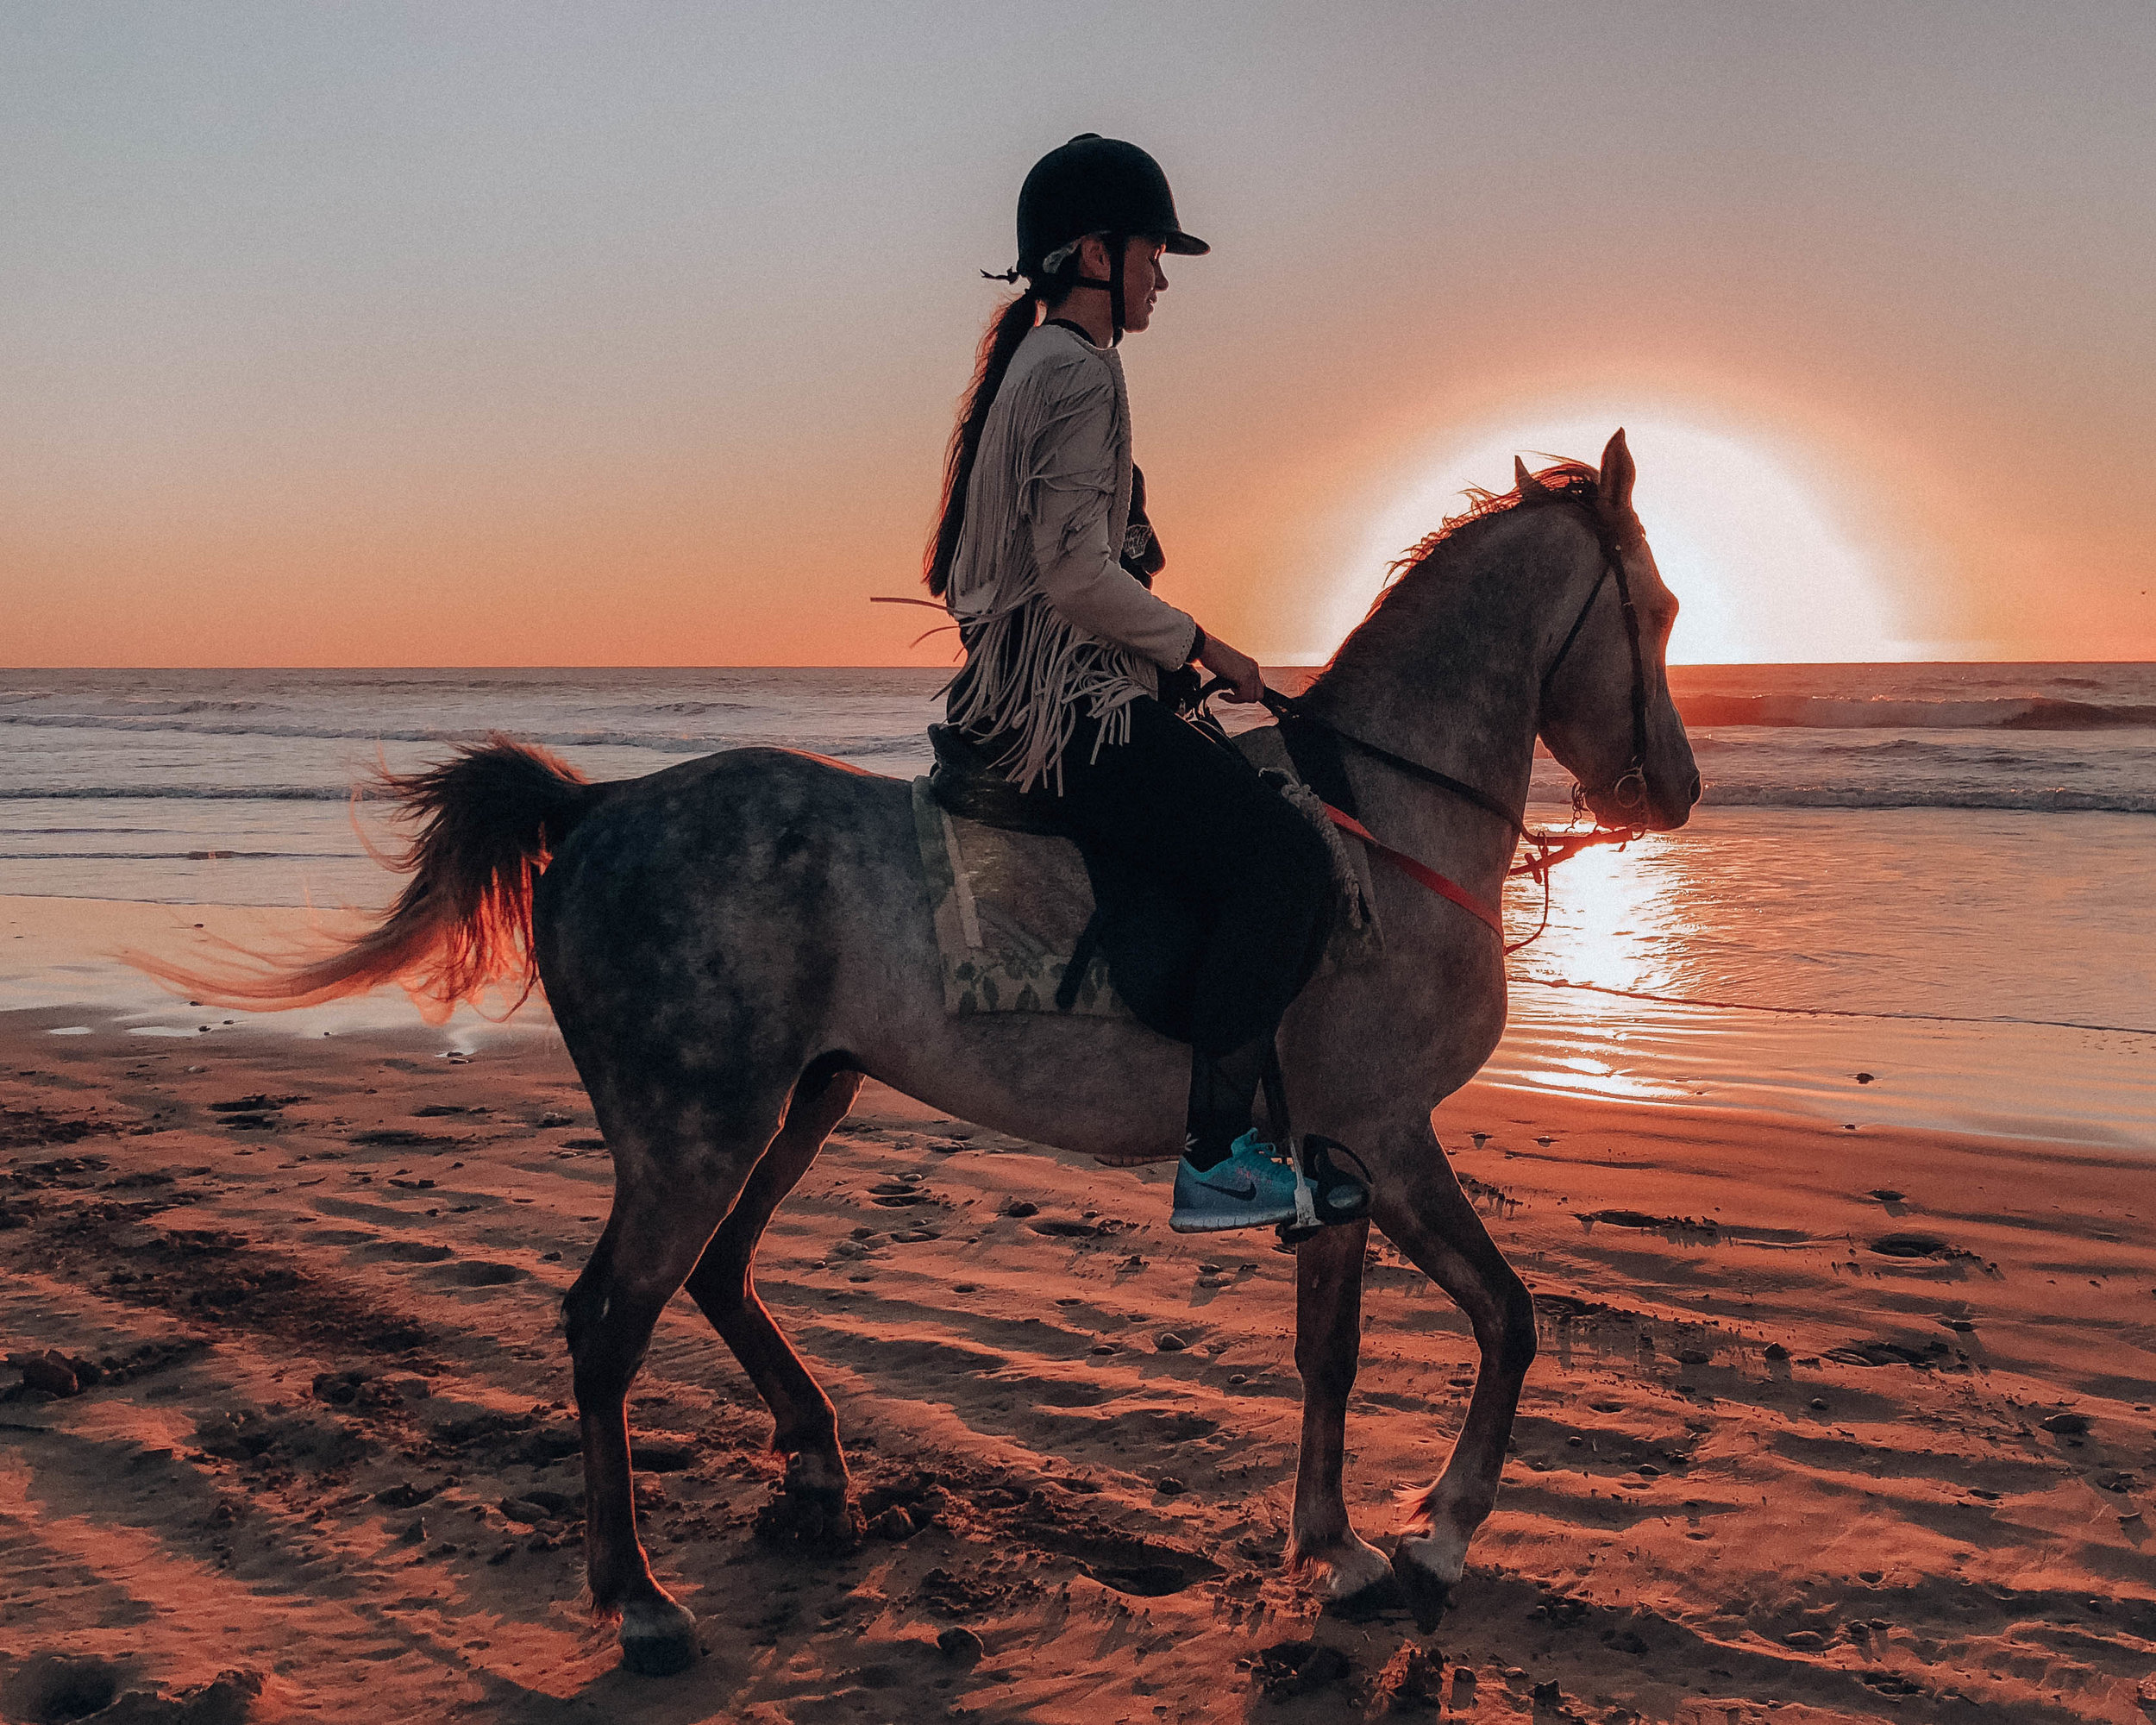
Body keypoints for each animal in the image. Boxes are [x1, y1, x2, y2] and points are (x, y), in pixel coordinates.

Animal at [143, 427, 1708, 1673]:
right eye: (1667, 607)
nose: (1678, 791)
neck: (1382, 822)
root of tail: (595, 810)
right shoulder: (1374, 1134)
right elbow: (1486, 1321)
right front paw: (1420, 1542)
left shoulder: (1348, 1151)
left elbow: (1375, 1341)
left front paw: (1360, 1539)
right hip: (695, 1127)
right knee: (611, 1318)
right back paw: (638, 1599)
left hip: (804, 1099)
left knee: (718, 1273)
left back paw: (815, 1464)